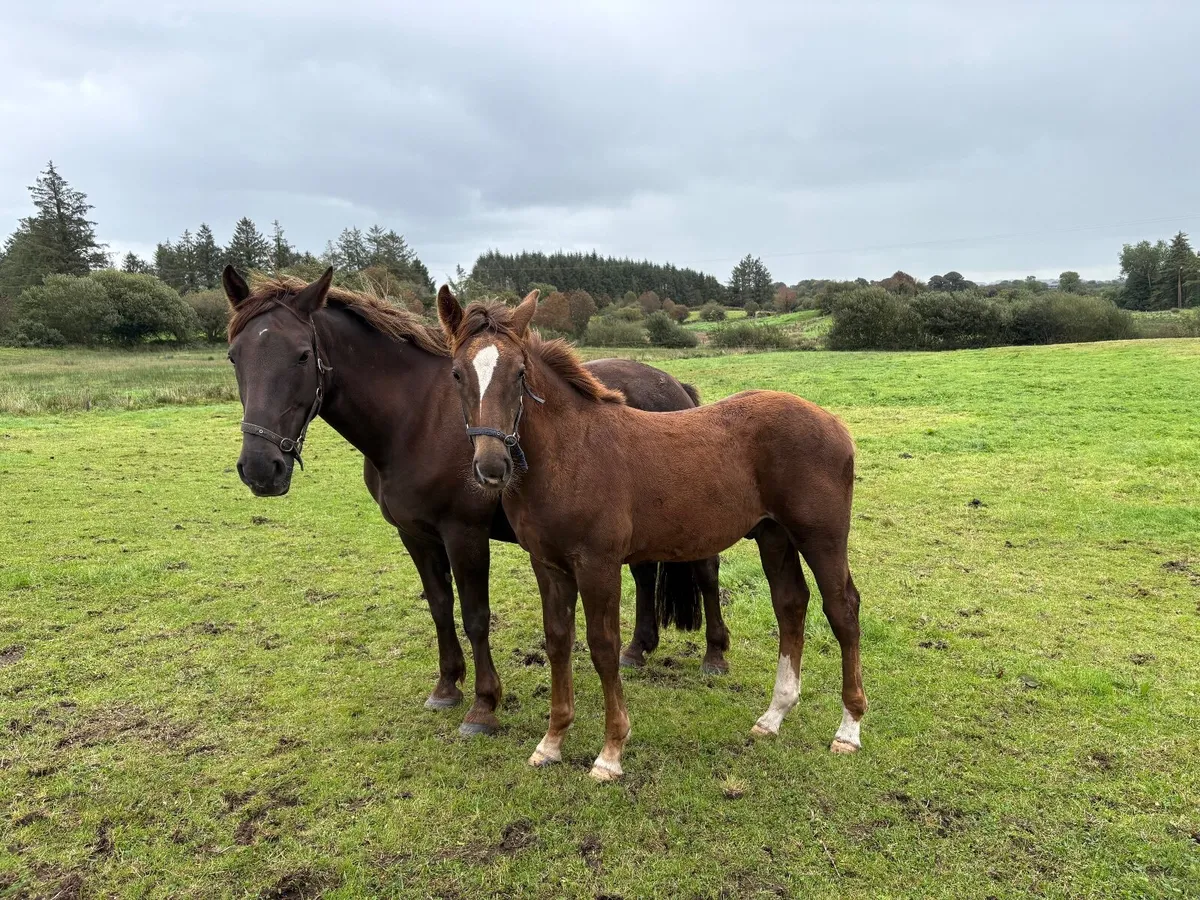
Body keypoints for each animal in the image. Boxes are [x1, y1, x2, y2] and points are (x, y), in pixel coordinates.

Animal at [222, 266, 729, 737]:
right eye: (234, 355)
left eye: (302, 355)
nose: (261, 467)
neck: (414, 419)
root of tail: (674, 385)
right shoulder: (415, 535)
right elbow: (440, 606)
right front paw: (447, 686)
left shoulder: (464, 534)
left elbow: (475, 615)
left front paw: (484, 705)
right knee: (645, 573)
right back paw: (638, 648)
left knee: (705, 571)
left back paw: (714, 655)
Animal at [437, 288, 866, 781]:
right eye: (456, 373)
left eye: (520, 373)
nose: (492, 466)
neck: (571, 453)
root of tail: (834, 424)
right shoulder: (548, 565)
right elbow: (558, 641)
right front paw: (552, 742)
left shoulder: (598, 564)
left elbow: (603, 646)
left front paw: (610, 752)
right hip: (773, 535)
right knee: (791, 604)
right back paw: (773, 715)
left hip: (821, 537)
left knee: (842, 609)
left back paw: (849, 729)